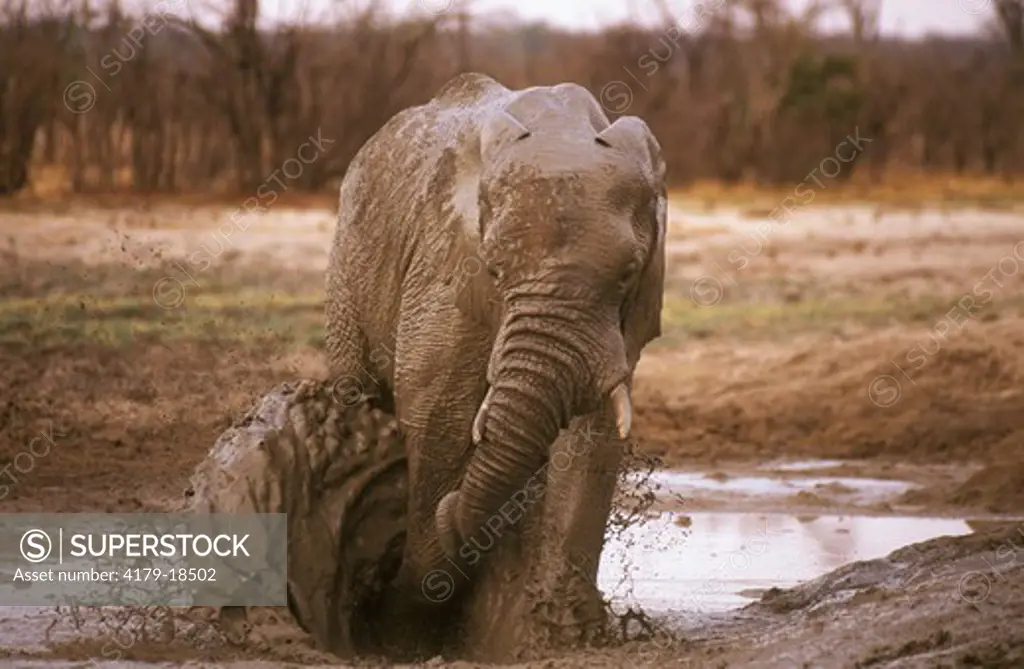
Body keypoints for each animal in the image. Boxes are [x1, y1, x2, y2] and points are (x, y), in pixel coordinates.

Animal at [323, 73, 667, 631]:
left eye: (628, 273)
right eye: (494, 270)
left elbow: (593, 438)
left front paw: (570, 627)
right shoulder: (444, 271)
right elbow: (438, 418)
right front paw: (417, 609)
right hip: (348, 264)